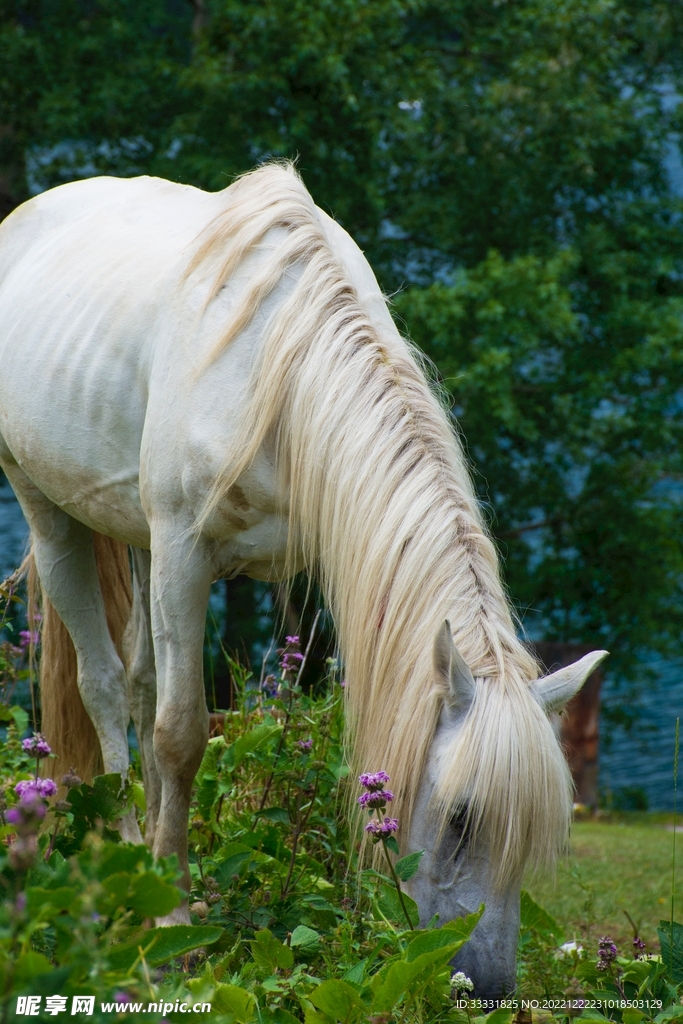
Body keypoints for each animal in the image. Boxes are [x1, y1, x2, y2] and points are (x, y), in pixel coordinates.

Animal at [0, 163, 606, 998]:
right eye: (459, 817)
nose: (486, 988)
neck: (279, 366)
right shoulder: (186, 550)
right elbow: (182, 734)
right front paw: (172, 926)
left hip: (141, 538)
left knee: (140, 685)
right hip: (49, 511)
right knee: (104, 689)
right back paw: (125, 870)